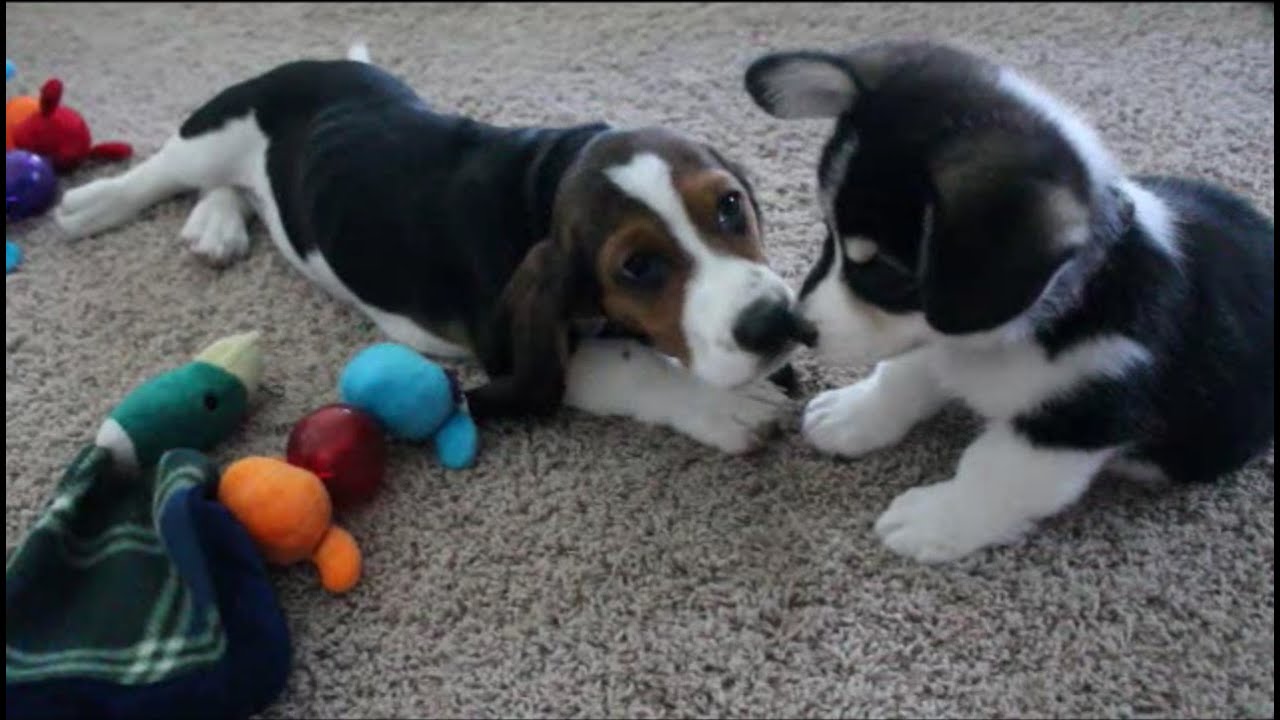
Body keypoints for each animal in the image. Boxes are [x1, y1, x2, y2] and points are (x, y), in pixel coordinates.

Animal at [55, 43, 814, 448]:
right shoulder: (511, 348)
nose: (775, 321)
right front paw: (731, 406)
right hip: (215, 130)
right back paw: (93, 205)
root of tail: (314, 63)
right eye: (639, 267)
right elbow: (630, 363)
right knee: (166, 169)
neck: (547, 179)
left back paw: (216, 226)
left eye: (730, 205)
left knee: (244, 189)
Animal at [747, 40, 1274, 561]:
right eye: (829, 234)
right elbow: (903, 374)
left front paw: (933, 518)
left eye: (886, 270)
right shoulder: (935, 339)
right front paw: (853, 414)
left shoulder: (1071, 424)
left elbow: (992, 471)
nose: (796, 327)